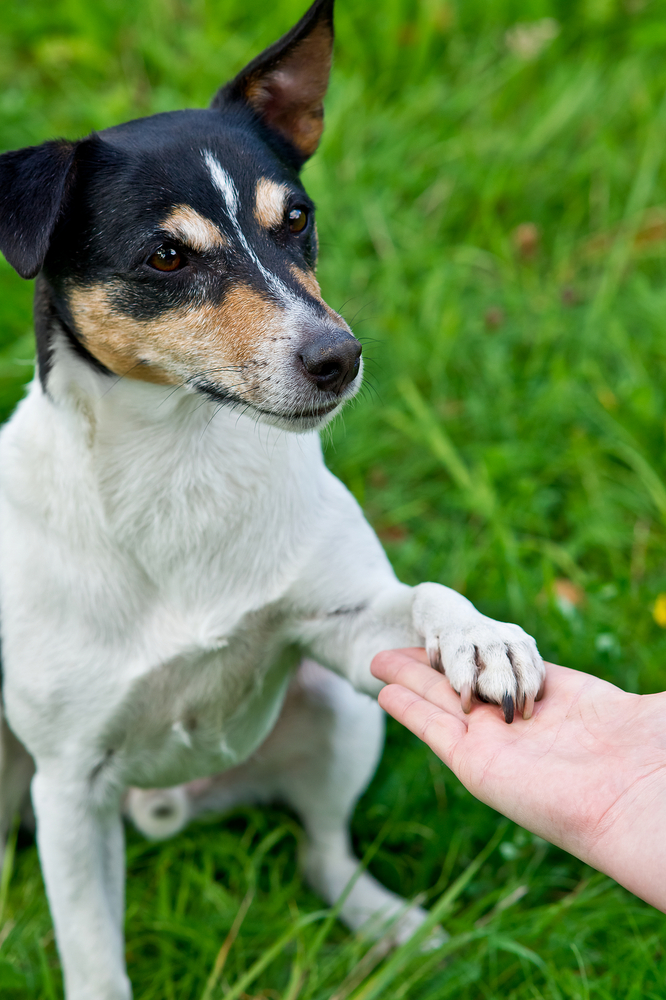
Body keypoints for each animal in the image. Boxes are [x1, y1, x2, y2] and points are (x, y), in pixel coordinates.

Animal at [0, 3, 544, 996]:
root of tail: (172, 806)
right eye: (166, 255)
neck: (180, 463)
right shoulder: (69, 789)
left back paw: (389, 923)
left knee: (322, 850)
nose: (340, 357)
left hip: (345, 712)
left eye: (296, 220)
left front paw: (484, 640)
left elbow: (424, 597)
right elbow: (95, 959)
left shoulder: (349, 630)